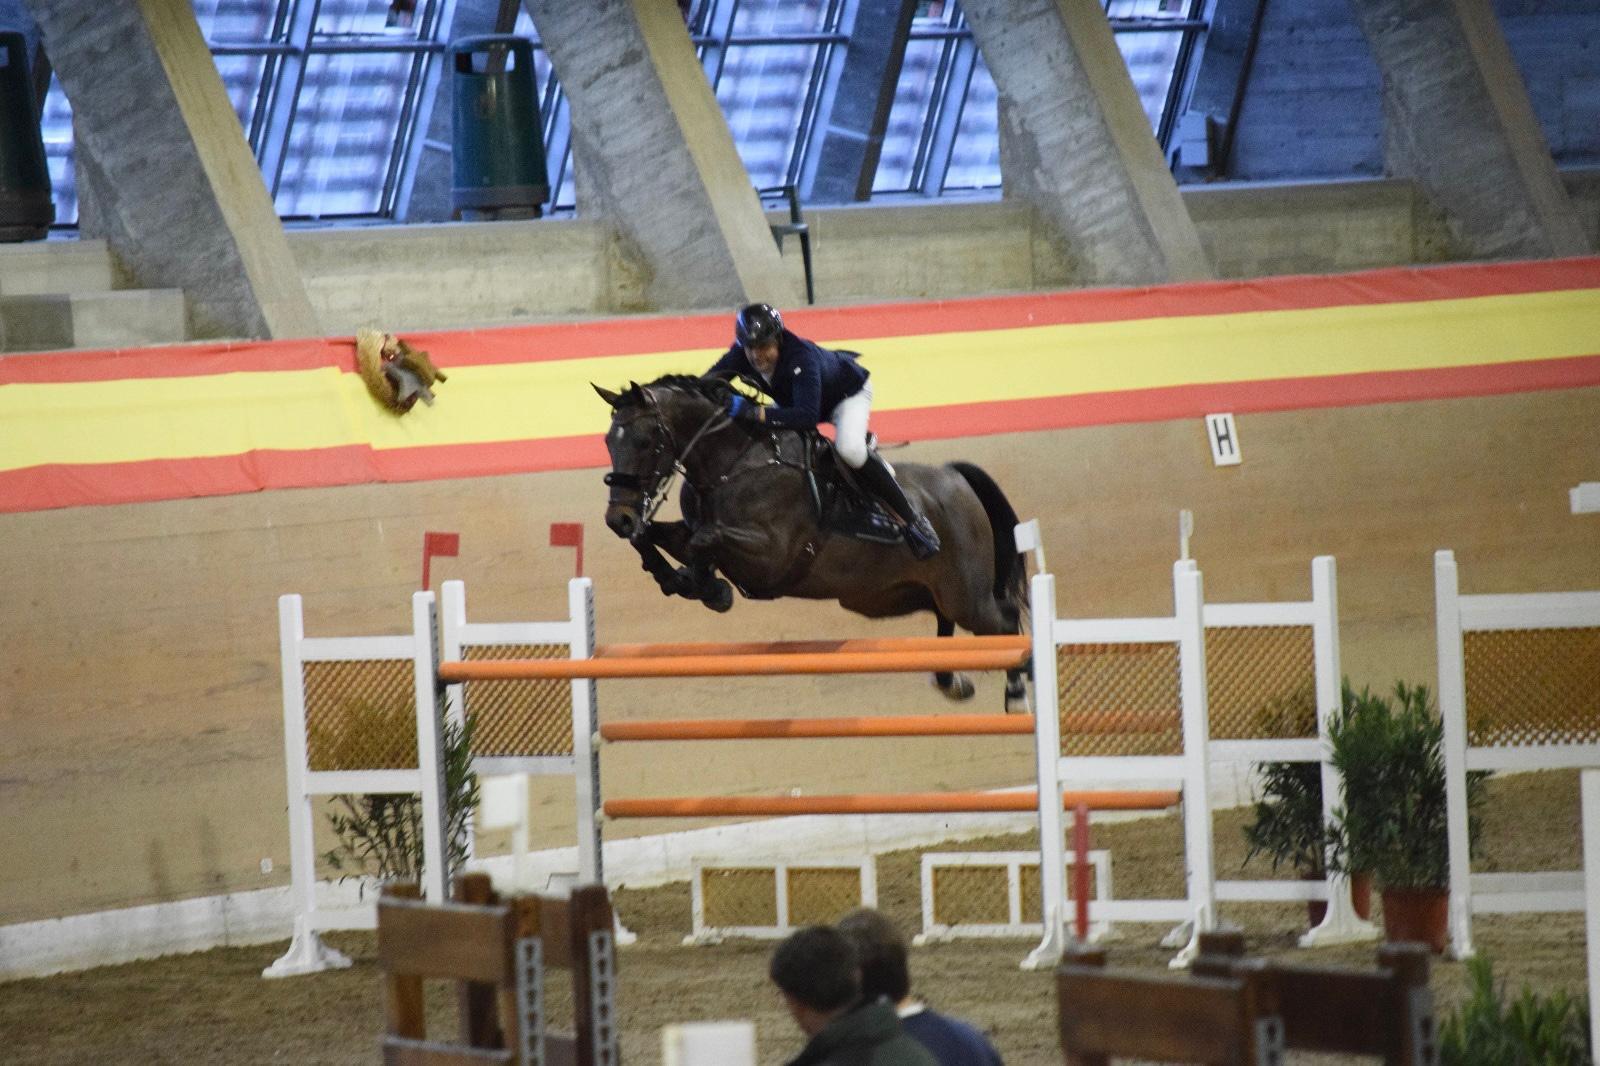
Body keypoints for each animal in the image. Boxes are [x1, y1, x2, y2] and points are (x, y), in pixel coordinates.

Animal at [595, 369, 1030, 710]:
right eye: (608, 442)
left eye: (644, 441)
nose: (618, 518)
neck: (735, 462)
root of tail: (956, 478)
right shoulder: (699, 536)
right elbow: (656, 537)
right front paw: (676, 577)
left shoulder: (771, 555)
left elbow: (707, 538)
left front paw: (709, 588)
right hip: (905, 594)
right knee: (948, 621)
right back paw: (952, 681)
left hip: (966, 596)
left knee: (1005, 619)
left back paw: (1017, 694)